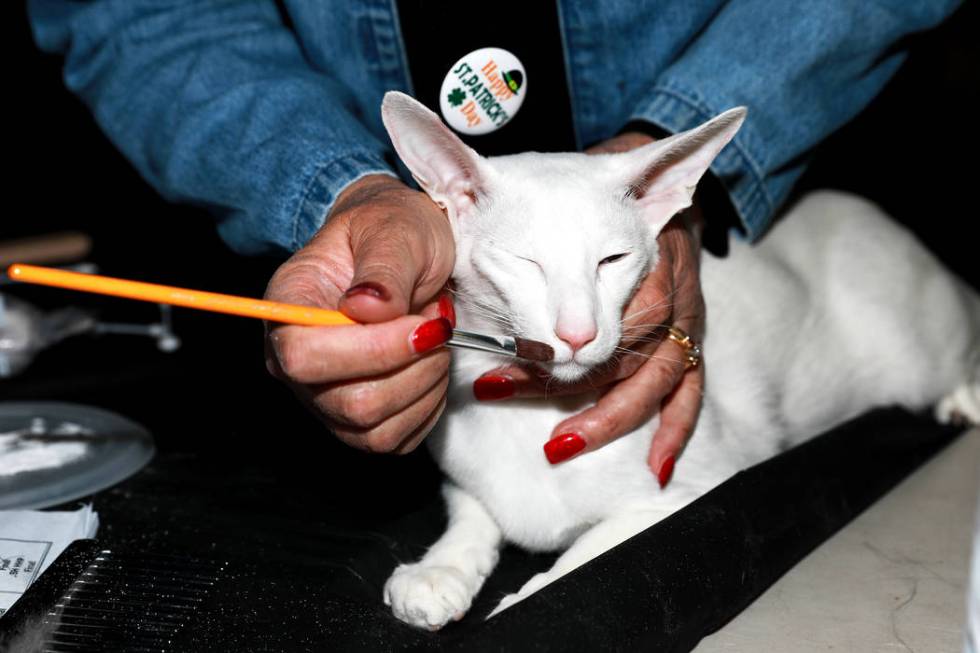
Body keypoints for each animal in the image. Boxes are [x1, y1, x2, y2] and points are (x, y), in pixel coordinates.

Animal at [378, 90, 980, 628]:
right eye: (524, 262)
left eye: (613, 260)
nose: (577, 333)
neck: (538, 413)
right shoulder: (465, 472)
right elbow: (472, 508)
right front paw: (439, 569)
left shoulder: (698, 489)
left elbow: (593, 553)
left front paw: (526, 597)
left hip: (910, 346)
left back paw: (963, 396)